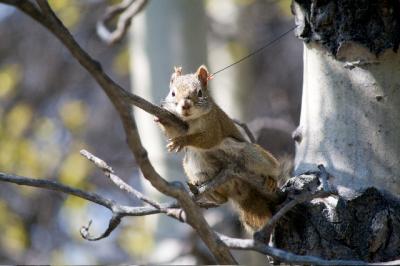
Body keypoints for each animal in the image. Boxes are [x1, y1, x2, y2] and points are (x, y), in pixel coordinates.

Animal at [155, 65, 284, 232]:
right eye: (172, 93)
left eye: (199, 92)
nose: (185, 106)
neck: (191, 119)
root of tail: (243, 193)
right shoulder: (178, 123)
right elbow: (171, 132)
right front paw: (161, 120)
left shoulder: (214, 124)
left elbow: (209, 139)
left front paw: (182, 141)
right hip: (193, 164)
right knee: (222, 200)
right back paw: (203, 189)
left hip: (251, 153)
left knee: (272, 167)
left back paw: (271, 180)